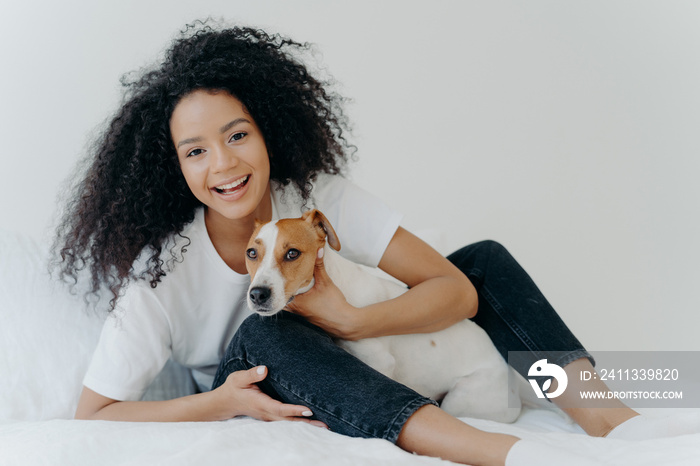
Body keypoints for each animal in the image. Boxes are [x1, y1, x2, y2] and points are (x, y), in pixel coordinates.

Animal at [243, 209, 524, 420]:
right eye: (251, 253)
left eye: (292, 253)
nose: (257, 294)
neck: (340, 285)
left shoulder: (379, 363)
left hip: (461, 398)